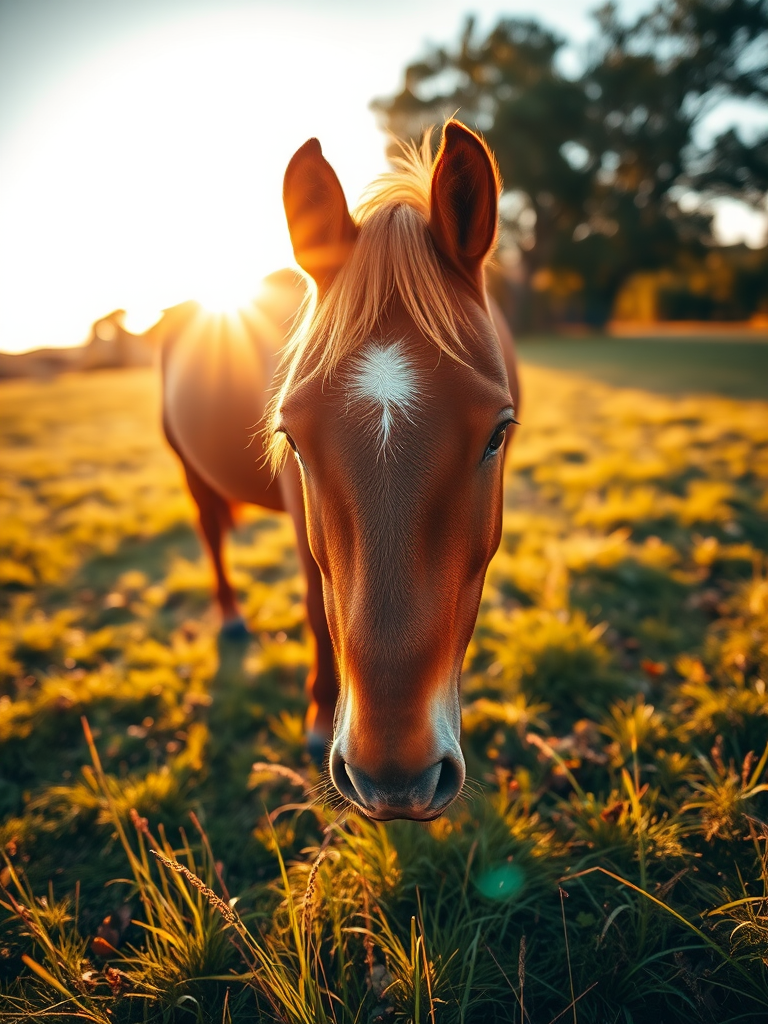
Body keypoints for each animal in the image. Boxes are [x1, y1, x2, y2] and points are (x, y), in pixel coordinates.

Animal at [160, 120, 520, 821]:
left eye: (498, 434)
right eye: (292, 440)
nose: (395, 778)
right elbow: (313, 604)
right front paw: (318, 714)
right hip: (189, 471)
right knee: (211, 534)